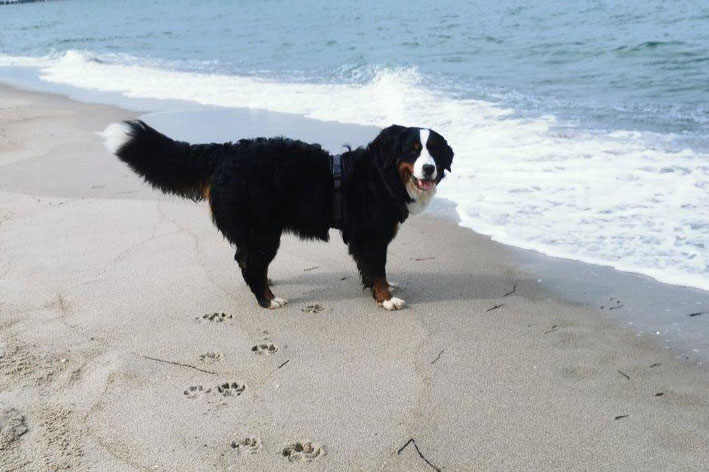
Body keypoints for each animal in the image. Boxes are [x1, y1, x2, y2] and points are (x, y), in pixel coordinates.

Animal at [101, 121, 453, 310]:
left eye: (434, 151)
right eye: (411, 151)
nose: (429, 168)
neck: (383, 175)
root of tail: (223, 151)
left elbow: (374, 270)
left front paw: (384, 287)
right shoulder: (370, 236)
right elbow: (376, 269)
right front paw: (387, 299)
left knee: (247, 261)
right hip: (263, 232)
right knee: (249, 263)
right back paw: (268, 298)